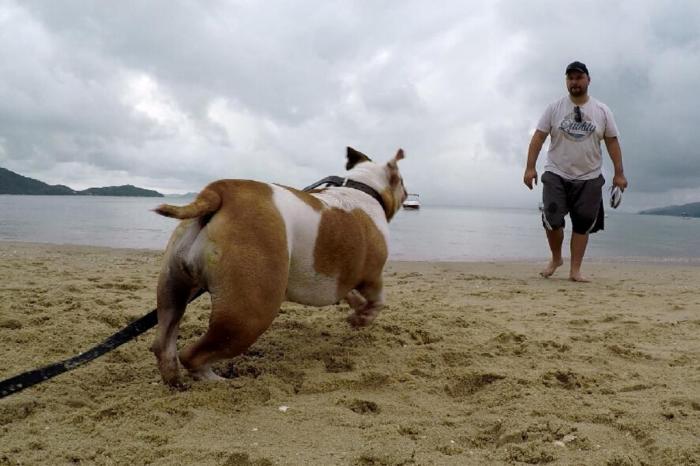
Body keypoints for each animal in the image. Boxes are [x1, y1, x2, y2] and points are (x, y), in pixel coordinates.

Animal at [150, 148, 408, 386]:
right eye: (402, 182)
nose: (408, 192)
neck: (363, 187)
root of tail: (221, 191)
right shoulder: (372, 275)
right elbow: (378, 300)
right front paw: (362, 318)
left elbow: (351, 295)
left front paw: (357, 310)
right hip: (248, 315)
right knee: (192, 355)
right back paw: (217, 380)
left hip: (172, 289)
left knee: (165, 343)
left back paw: (174, 381)